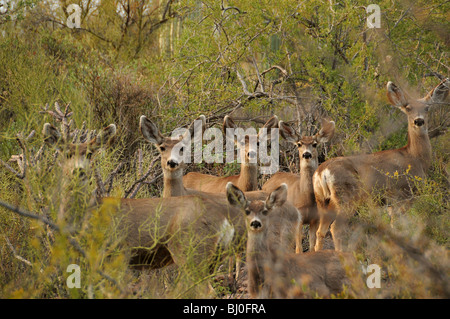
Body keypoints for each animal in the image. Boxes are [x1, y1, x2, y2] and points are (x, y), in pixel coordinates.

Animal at [262, 117, 336, 252]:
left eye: (314, 144)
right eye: (299, 144)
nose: (306, 154)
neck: (305, 196)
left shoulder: (315, 219)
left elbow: (311, 246)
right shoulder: (298, 217)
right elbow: (299, 248)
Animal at [314, 79, 448, 252]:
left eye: (427, 108)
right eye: (408, 108)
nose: (419, 121)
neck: (415, 158)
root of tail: (321, 172)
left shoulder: (391, 202)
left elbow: (393, 227)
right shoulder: (403, 194)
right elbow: (399, 227)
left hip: (323, 200)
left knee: (320, 230)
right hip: (346, 196)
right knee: (336, 228)